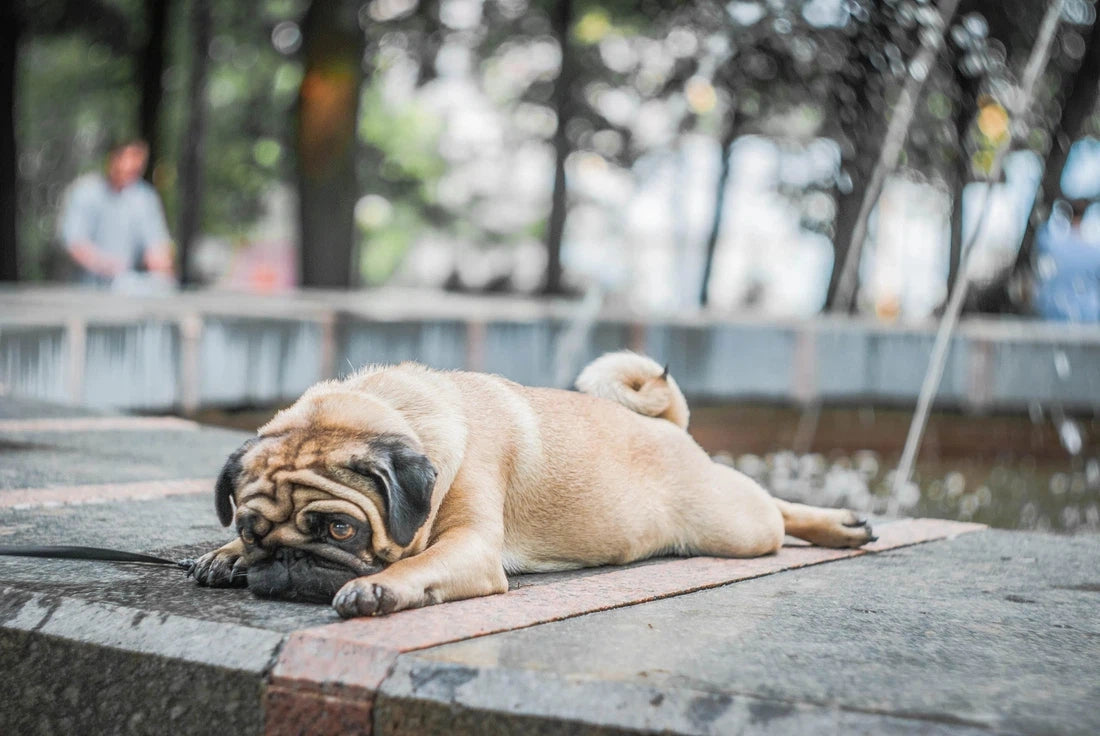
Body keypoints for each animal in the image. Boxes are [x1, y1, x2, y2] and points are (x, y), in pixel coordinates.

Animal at [193, 352, 871, 616]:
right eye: (252, 532)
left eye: (340, 529)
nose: (285, 561)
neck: (395, 409)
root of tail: (665, 426)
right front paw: (224, 556)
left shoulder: (470, 548)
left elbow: (417, 562)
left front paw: (378, 588)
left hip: (734, 526)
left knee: (772, 510)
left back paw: (838, 524)